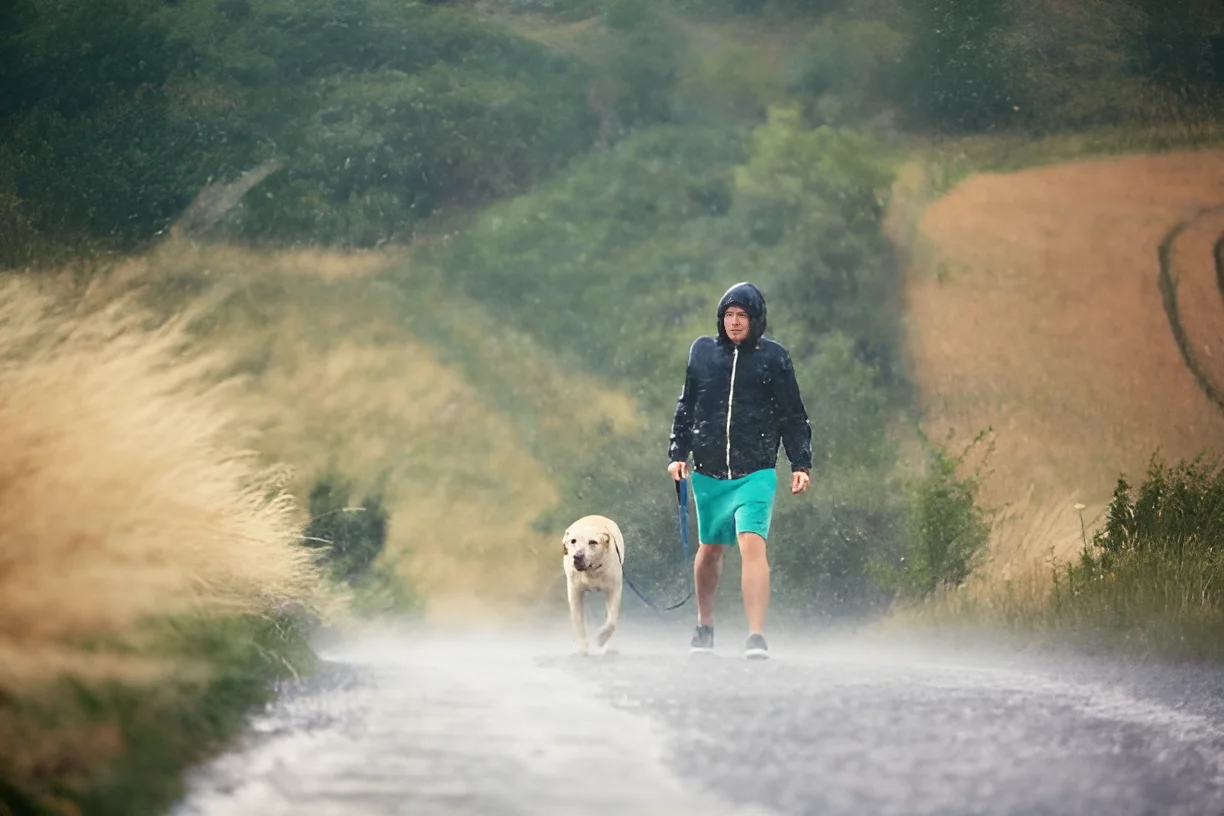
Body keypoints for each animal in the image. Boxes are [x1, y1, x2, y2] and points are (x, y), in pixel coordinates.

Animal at [560, 516, 626, 655]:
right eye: (573, 541)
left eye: (593, 542)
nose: (577, 556)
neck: (591, 572)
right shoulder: (574, 591)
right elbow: (578, 621)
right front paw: (583, 647)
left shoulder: (614, 589)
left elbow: (611, 622)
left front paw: (600, 640)